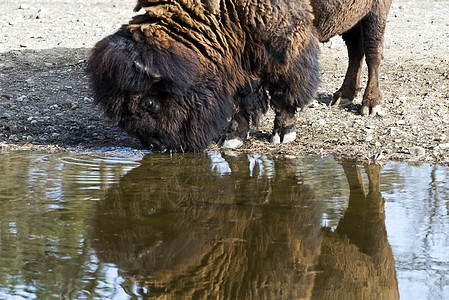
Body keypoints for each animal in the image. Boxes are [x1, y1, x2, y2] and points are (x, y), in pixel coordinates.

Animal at [86, 0, 318, 150]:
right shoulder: (242, 57)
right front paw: (232, 139)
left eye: (149, 103)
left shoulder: (285, 44)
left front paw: (283, 135)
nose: (153, 144)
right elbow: (244, 98)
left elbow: (285, 91)